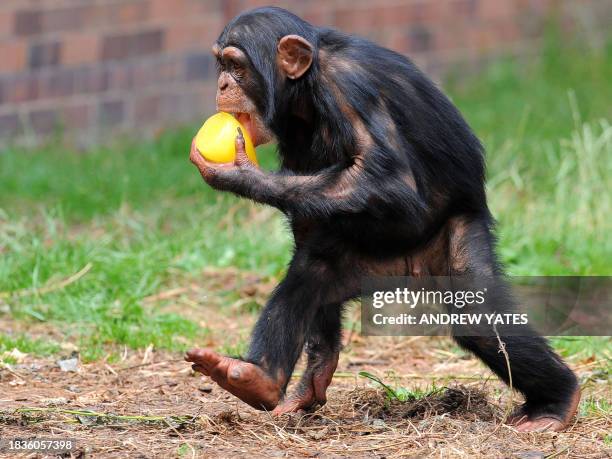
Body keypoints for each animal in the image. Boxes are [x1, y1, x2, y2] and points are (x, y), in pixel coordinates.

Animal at [184, 6, 580, 432]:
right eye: (221, 64)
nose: (223, 83)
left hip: (455, 234)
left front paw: (239, 174)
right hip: (362, 266)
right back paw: (261, 378)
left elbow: (393, 182)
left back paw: (557, 402)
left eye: (236, 66)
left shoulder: (350, 87)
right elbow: (307, 221)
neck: (307, 83)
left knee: (480, 317)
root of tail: (409, 271)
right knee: (312, 270)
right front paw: (317, 370)